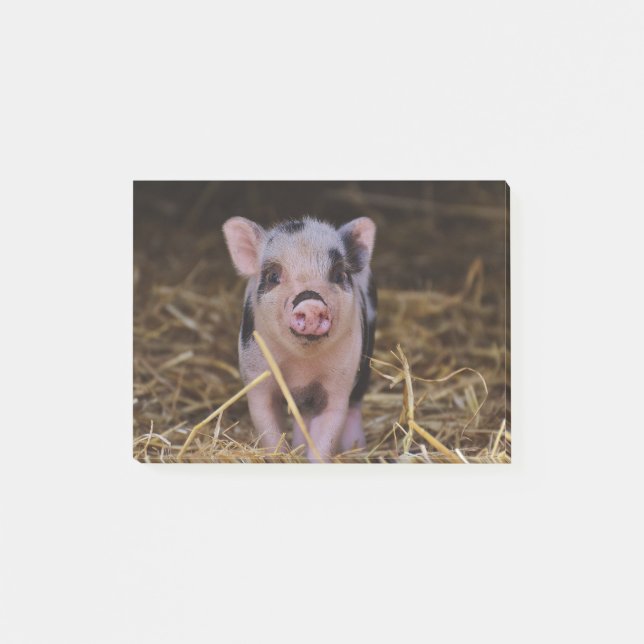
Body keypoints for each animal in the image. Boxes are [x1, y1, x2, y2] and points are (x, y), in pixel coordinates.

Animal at [222, 215, 377, 462]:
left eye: (338, 275)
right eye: (273, 276)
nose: (311, 303)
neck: (302, 368)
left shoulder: (339, 384)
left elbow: (326, 435)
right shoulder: (257, 379)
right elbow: (269, 431)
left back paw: (357, 450)